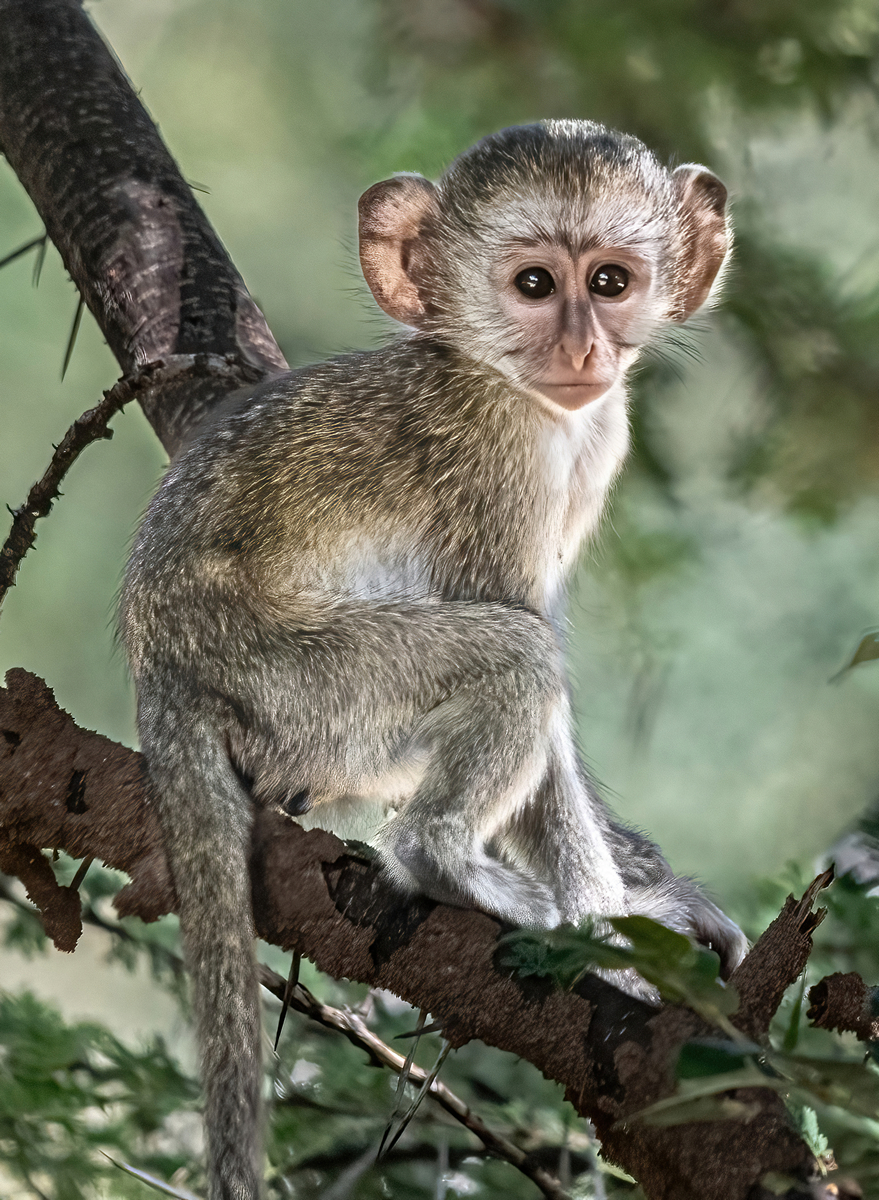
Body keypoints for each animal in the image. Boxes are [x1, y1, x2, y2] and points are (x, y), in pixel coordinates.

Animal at [119, 120, 748, 1200]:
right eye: (534, 284)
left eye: (610, 280)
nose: (582, 346)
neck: (500, 379)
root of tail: (166, 665)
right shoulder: (496, 467)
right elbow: (527, 657)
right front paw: (610, 942)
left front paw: (641, 882)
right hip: (311, 686)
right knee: (516, 661)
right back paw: (444, 858)